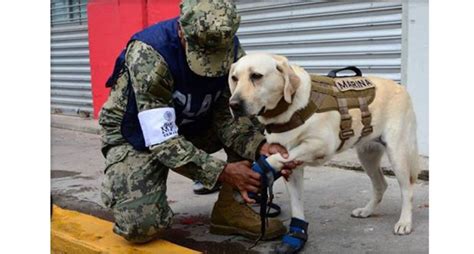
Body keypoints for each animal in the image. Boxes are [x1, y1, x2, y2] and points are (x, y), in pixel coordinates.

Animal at [228, 53, 420, 240]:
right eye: (234, 78)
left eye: (256, 76)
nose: (233, 104)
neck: (287, 109)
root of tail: (401, 87)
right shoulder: (293, 169)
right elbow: (296, 205)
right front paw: (296, 234)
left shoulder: (321, 145)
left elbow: (275, 158)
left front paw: (258, 169)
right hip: (367, 155)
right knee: (381, 184)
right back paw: (367, 210)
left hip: (397, 154)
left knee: (408, 189)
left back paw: (404, 222)